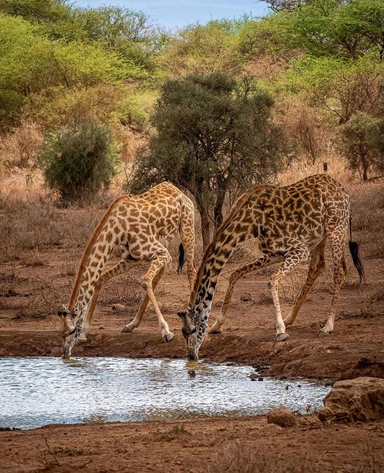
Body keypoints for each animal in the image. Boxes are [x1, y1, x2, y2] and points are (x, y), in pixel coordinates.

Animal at [58, 181, 196, 358]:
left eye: (70, 331)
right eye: (60, 333)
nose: (65, 354)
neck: (116, 230)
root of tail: (178, 190)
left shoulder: (159, 251)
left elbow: (145, 280)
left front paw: (166, 332)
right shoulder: (133, 258)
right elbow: (100, 279)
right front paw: (84, 333)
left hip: (187, 226)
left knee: (191, 269)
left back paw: (193, 317)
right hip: (164, 239)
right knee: (159, 275)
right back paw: (131, 325)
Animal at [178, 174, 364, 362]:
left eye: (192, 330)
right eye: (183, 332)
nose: (191, 356)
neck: (250, 223)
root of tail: (343, 191)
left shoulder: (299, 249)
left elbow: (272, 279)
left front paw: (280, 331)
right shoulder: (275, 252)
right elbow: (235, 274)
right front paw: (217, 325)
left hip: (336, 228)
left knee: (340, 270)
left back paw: (327, 326)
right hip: (320, 236)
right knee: (317, 266)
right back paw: (290, 318)